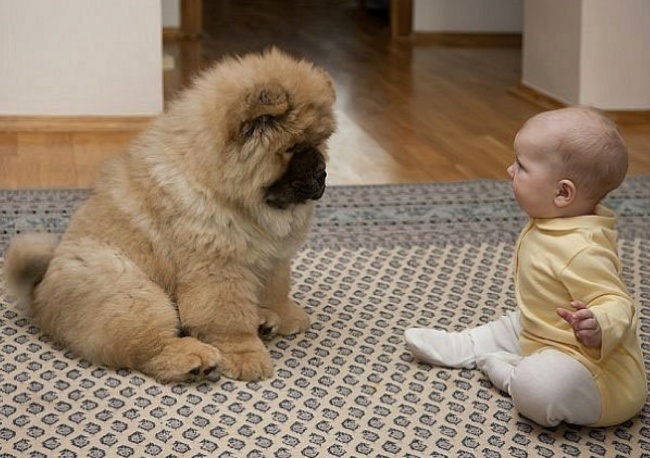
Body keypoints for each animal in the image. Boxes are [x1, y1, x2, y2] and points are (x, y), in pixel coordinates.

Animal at [5, 48, 336, 382]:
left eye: (320, 142)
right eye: (293, 148)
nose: (322, 175)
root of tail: (38, 293)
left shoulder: (272, 257)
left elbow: (276, 289)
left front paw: (286, 315)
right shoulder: (218, 268)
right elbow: (228, 319)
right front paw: (247, 357)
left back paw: (263, 320)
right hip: (133, 293)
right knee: (152, 347)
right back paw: (195, 358)